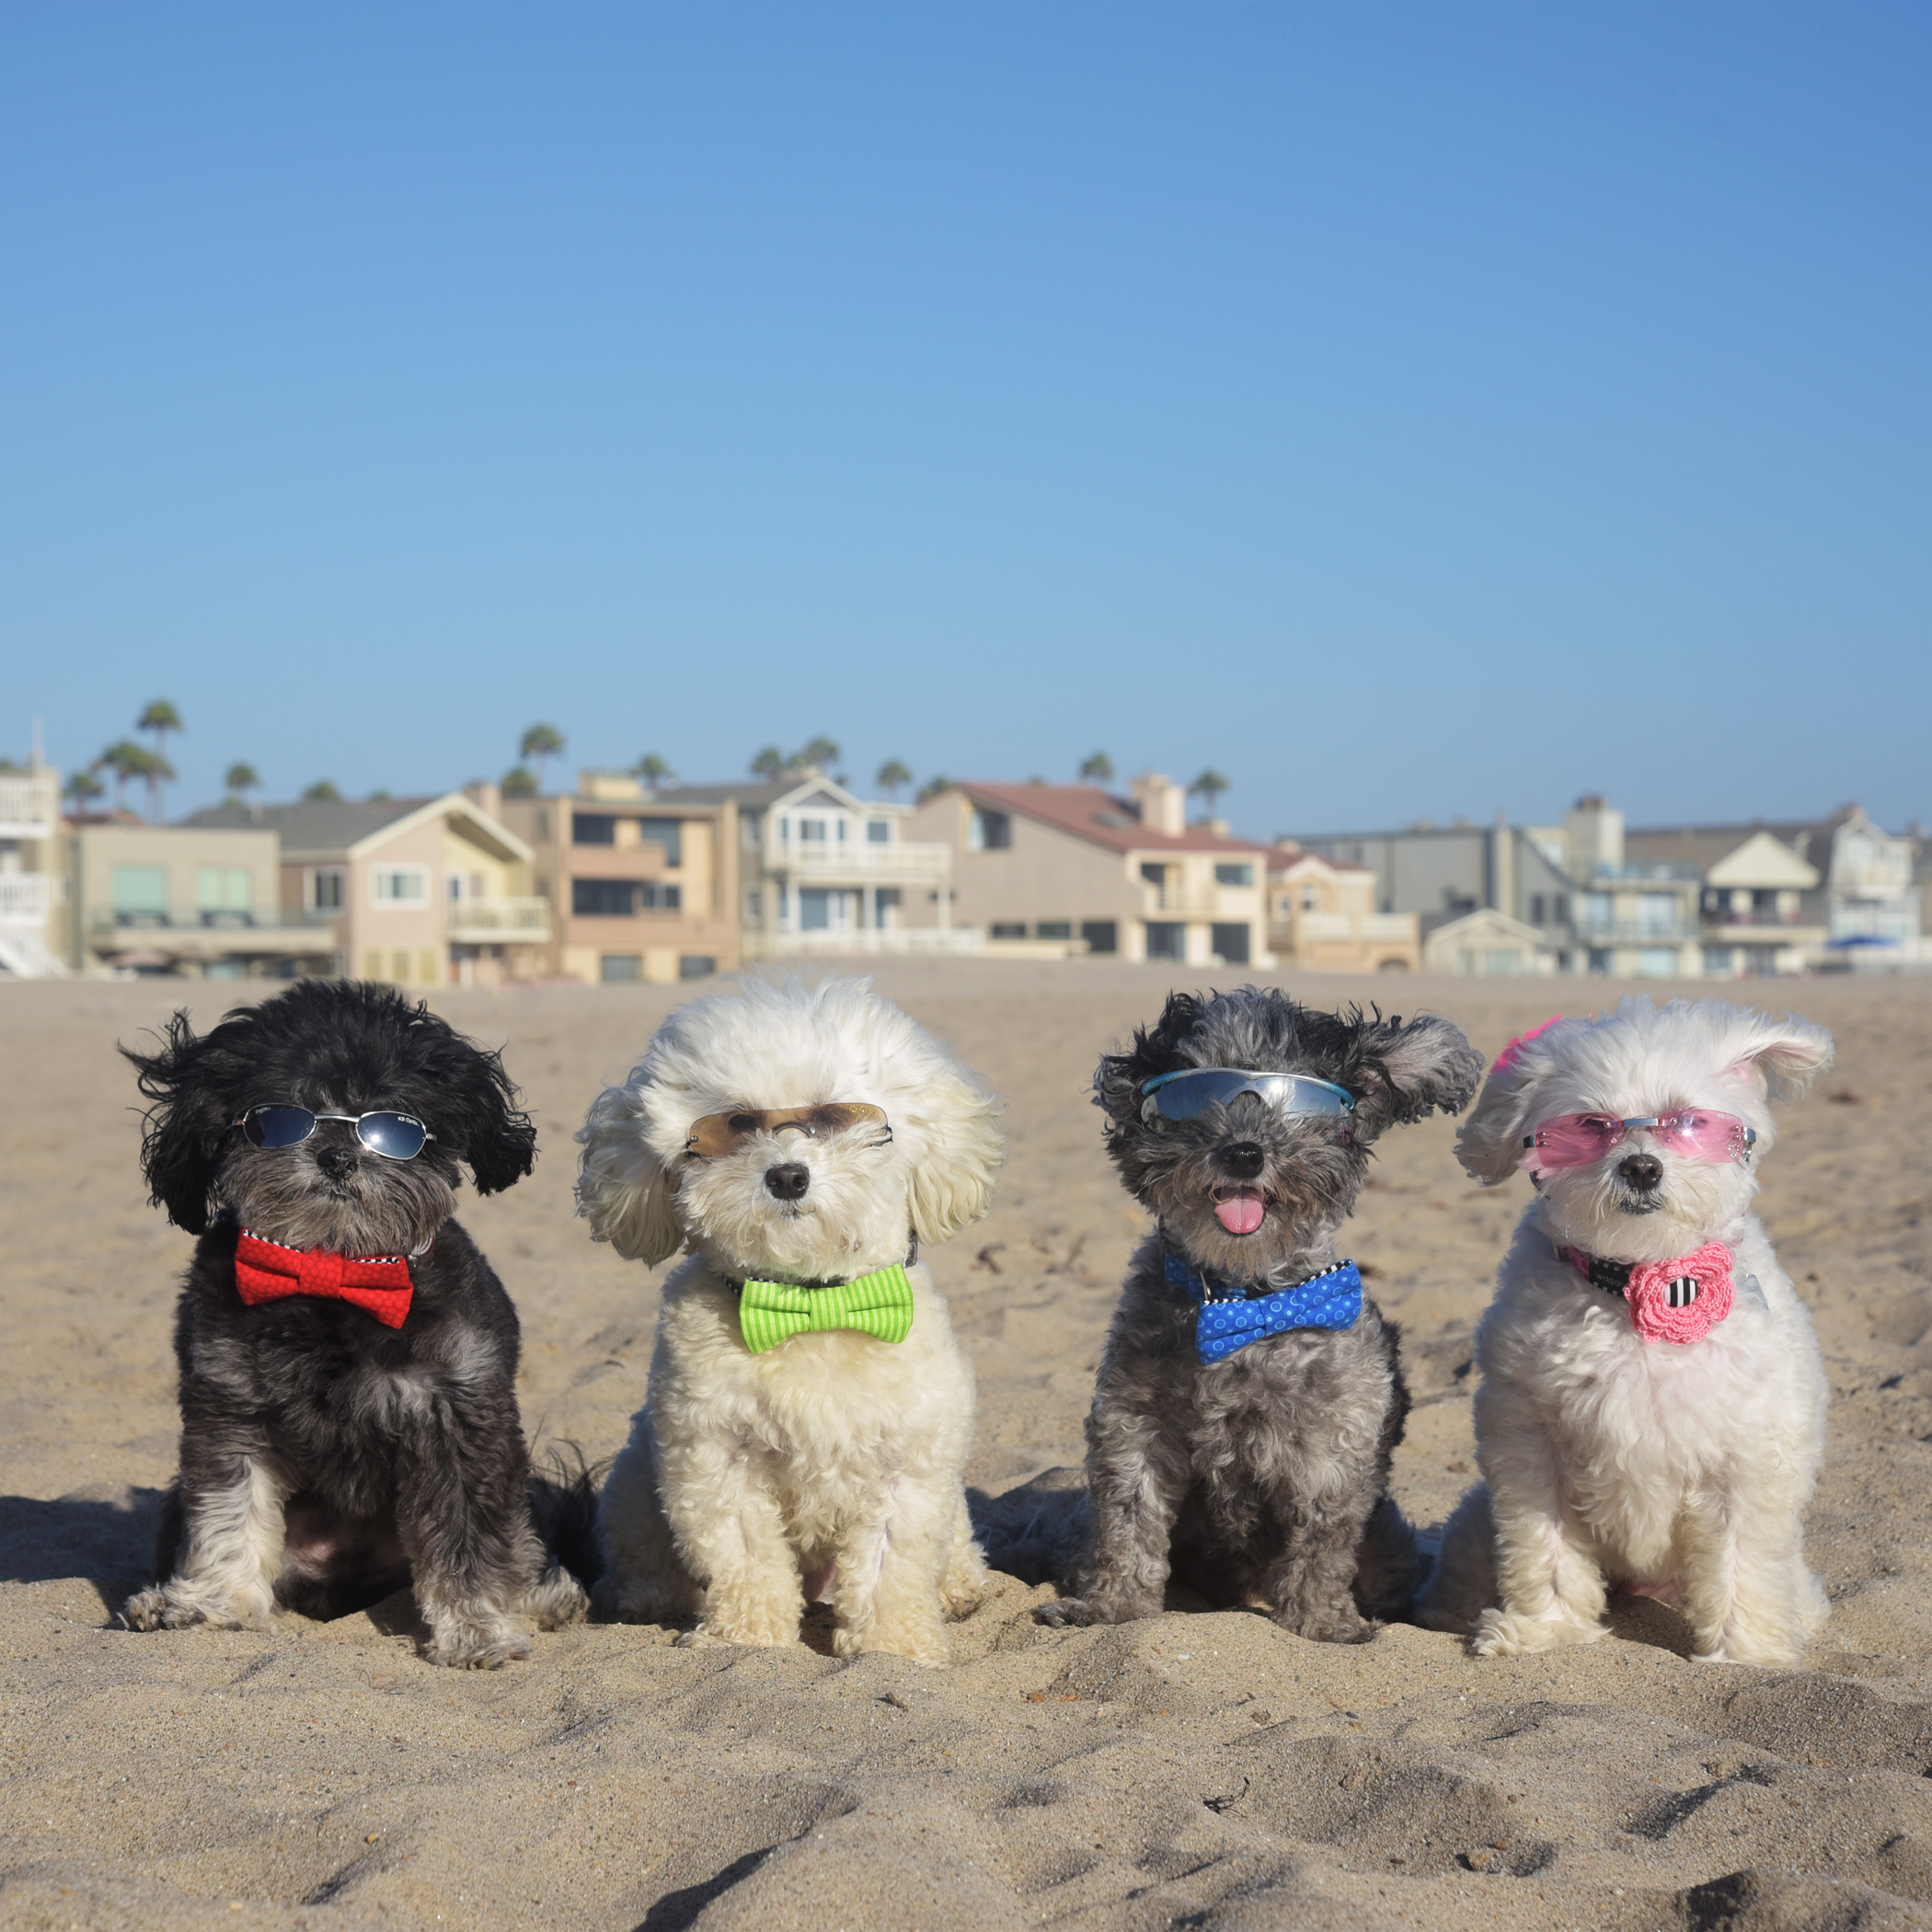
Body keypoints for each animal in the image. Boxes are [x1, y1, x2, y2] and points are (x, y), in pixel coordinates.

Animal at [121, 981, 583, 1661]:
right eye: (279, 1116)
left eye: (391, 1121)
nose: (336, 1155)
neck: (332, 1272)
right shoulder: (230, 1409)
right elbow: (230, 1514)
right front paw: (208, 1605)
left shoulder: (456, 1412)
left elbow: (470, 1539)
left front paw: (477, 1629)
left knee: (516, 1542)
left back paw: (542, 1600)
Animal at [571, 973, 1005, 1669]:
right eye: (737, 1125)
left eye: (835, 1117)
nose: (787, 1175)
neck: (810, 1308)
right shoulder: (715, 1460)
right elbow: (747, 1560)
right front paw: (747, 1641)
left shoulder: (907, 1466)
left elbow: (891, 1567)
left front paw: (894, 1651)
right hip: (637, 1476)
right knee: (642, 1549)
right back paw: (646, 1595)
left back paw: (961, 1585)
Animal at [1043, 996, 1476, 1646]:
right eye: (1196, 1095)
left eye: (1301, 1106)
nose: (1244, 1152)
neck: (1242, 1301)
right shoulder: (1134, 1423)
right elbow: (1127, 1522)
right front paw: (1110, 1608)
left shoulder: (1333, 1441)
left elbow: (1323, 1542)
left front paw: (1321, 1623)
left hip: (1389, 1541)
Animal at [1429, 996, 1831, 1661]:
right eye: (1590, 1126)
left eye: (1687, 1123)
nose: (1641, 1167)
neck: (1639, 1278)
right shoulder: (1531, 1443)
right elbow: (1544, 1549)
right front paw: (1548, 1628)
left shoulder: (1747, 1453)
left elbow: (1742, 1561)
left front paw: (1744, 1653)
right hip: (1471, 1526)